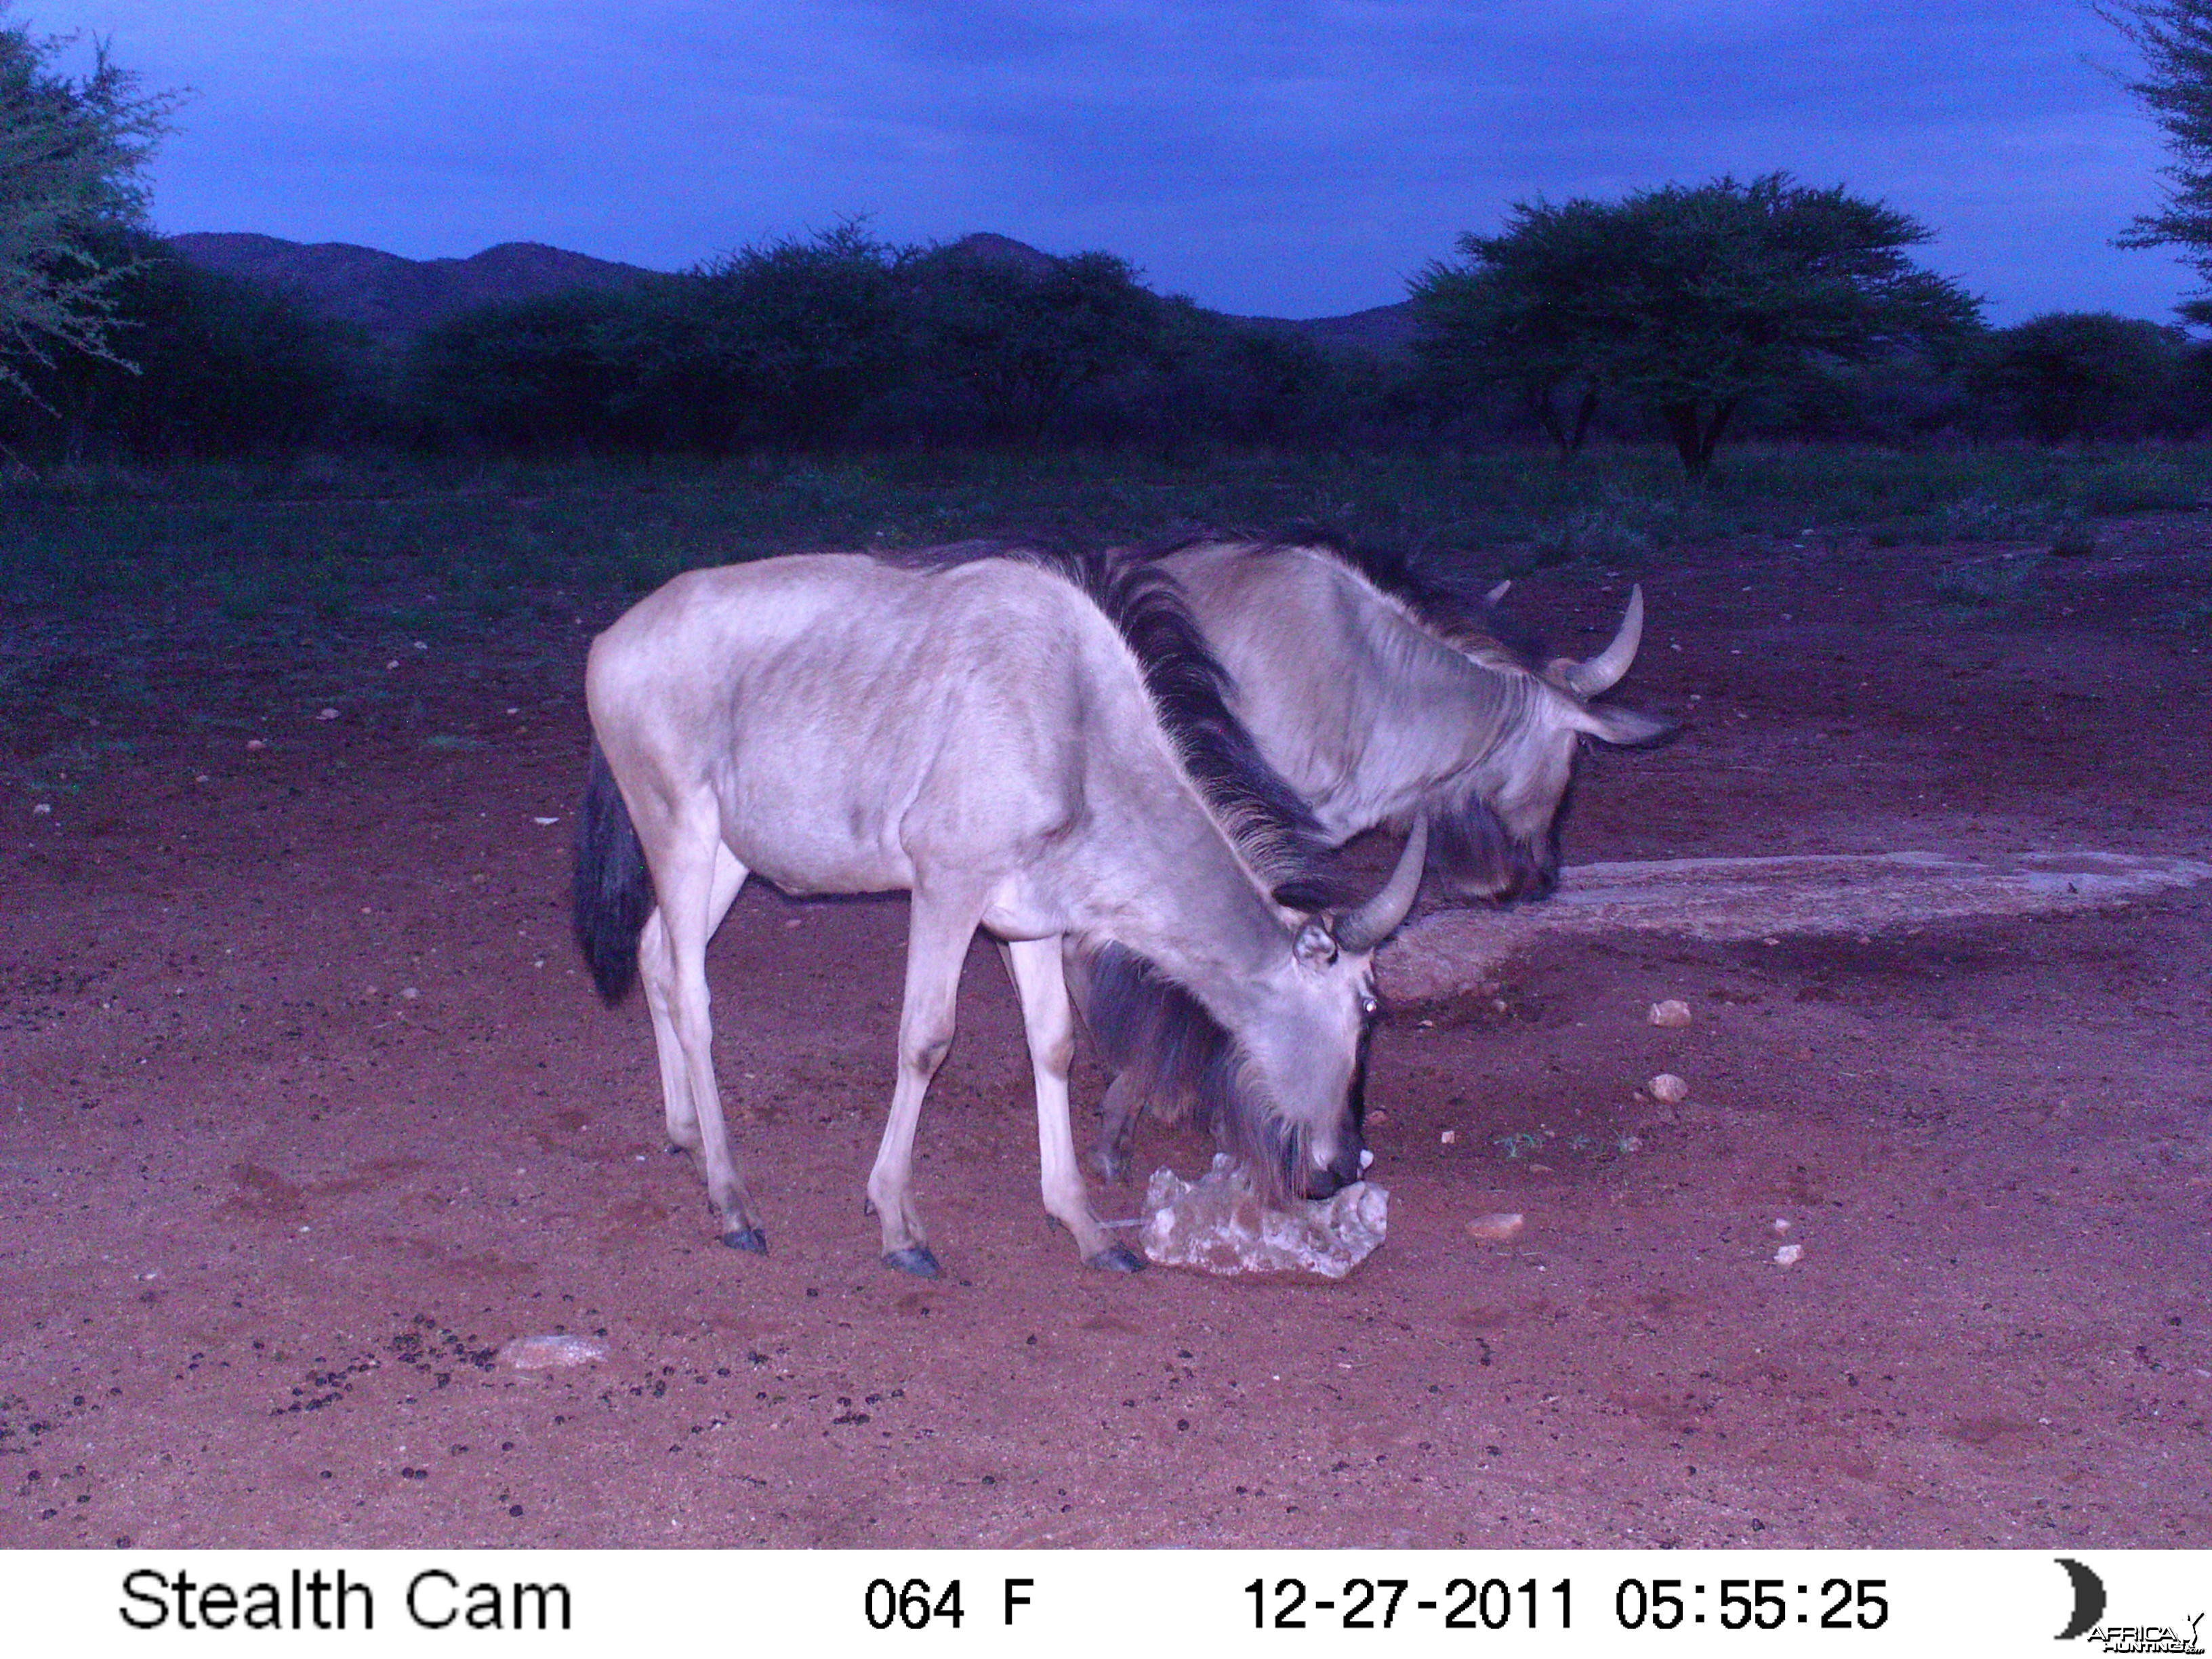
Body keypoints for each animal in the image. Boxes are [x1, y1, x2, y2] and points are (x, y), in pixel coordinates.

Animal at [579, 553, 1425, 1283]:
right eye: (1367, 1010)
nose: (1343, 1164)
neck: (1076, 725)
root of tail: (608, 645)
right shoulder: (947, 883)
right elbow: (925, 1039)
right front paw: (898, 1223)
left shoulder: (1034, 920)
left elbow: (1052, 1043)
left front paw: (1084, 1224)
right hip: (681, 829)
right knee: (693, 995)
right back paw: (732, 1200)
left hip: (728, 853)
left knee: (656, 956)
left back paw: (689, 1138)